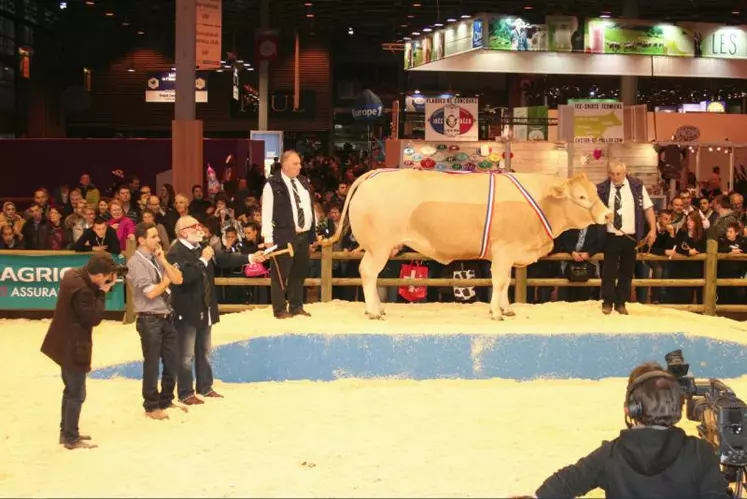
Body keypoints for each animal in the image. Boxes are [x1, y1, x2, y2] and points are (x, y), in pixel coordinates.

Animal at [324, 170, 612, 322]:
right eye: (581, 197)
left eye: (595, 193)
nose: (608, 215)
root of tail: (376, 173)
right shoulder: (504, 250)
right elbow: (499, 281)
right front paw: (495, 312)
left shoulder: (507, 254)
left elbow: (505, 283)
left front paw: (507, 309)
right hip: (379, 247)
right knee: (368, 273)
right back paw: (374, 311)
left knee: (371, 276)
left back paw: (377, 308)